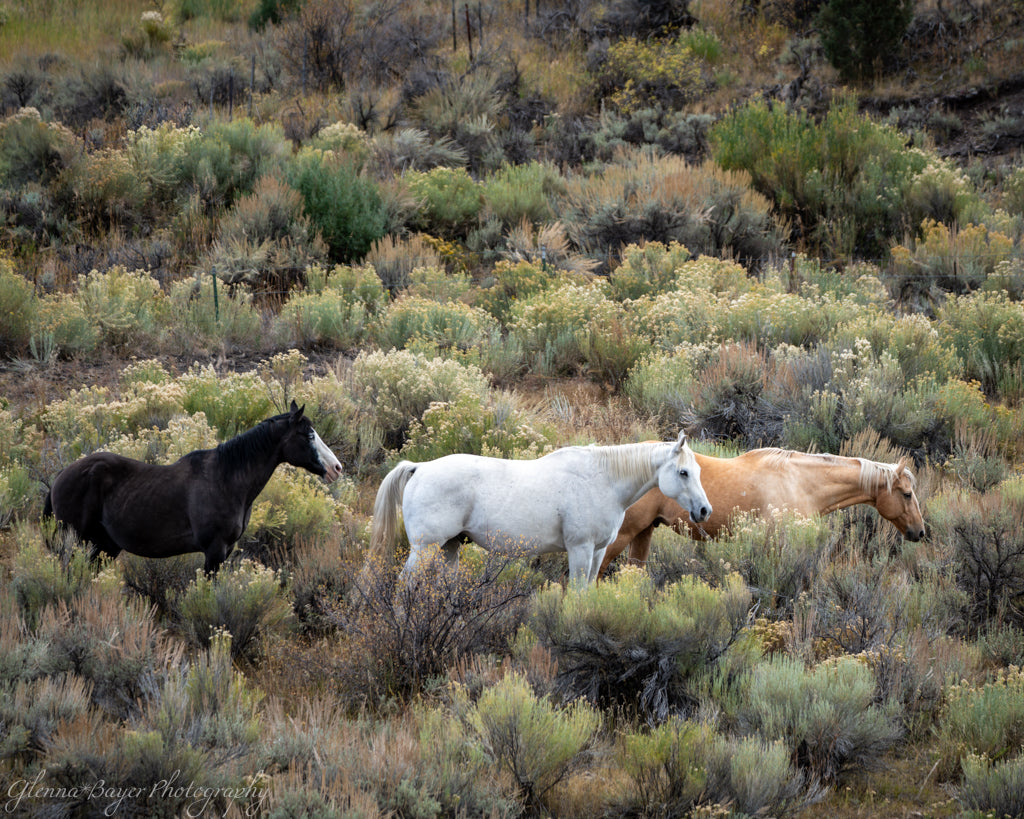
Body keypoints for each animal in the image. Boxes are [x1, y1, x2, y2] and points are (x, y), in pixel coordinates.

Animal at [44, 401, 343, 574]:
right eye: (308, 435)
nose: (336, 468)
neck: (227, 480)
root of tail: (60, 476)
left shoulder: (226, 550)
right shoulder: (214, 551)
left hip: (103, 547)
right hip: (77, 541)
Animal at [370, 432, 711, 586]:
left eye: (697, 471)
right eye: (683, 472)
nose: (704, 511)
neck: (603, 480)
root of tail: (420, 467)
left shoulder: (598, 550)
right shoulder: (580, 549)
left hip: (449, 547)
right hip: (424, 549)